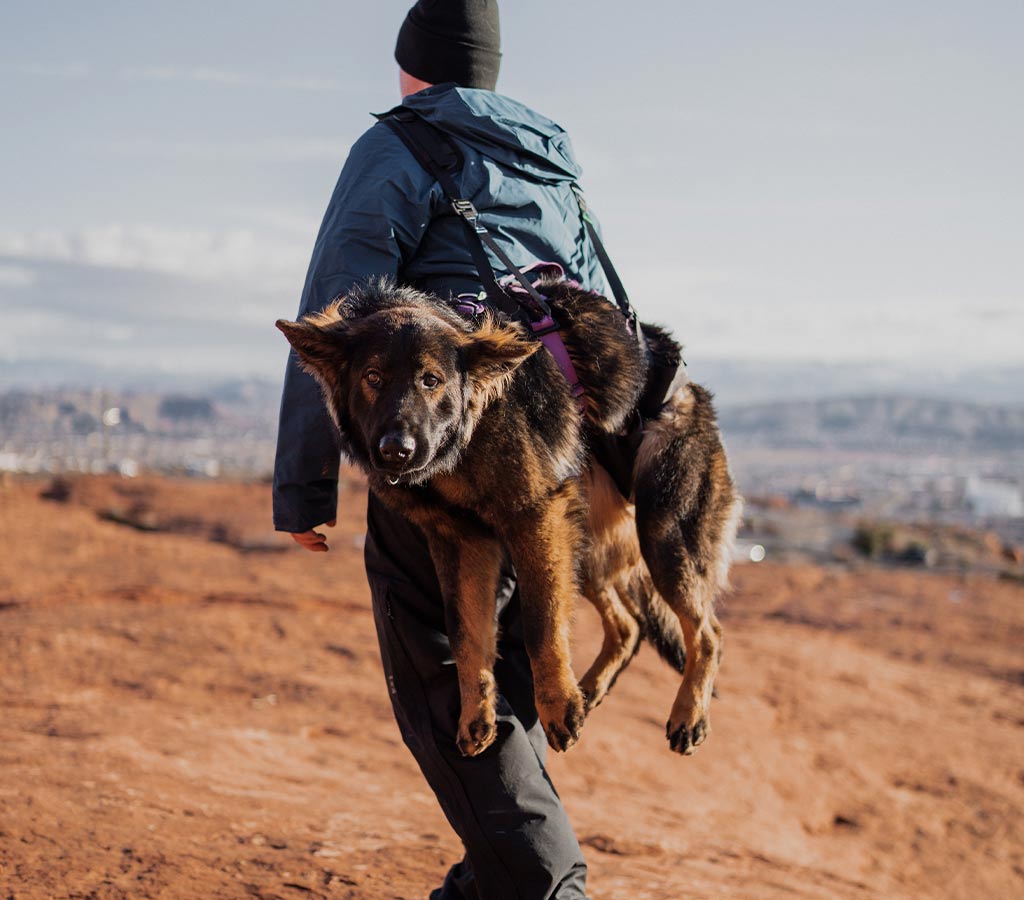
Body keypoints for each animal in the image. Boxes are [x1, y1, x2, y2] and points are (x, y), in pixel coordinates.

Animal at [280, 278, 741, 757]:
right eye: (373, 378)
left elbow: (541, 623)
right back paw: (591, 688)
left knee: (709, 633)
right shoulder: (462, 542)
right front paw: (476, 714)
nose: (396, 451)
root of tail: (690, 389)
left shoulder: (535, 519)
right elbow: (466, 635)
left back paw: (688, 714)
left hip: (661, 537)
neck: (465, 441)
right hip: (583, 547)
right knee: (629, 627)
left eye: (431, 381)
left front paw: (556, 704)